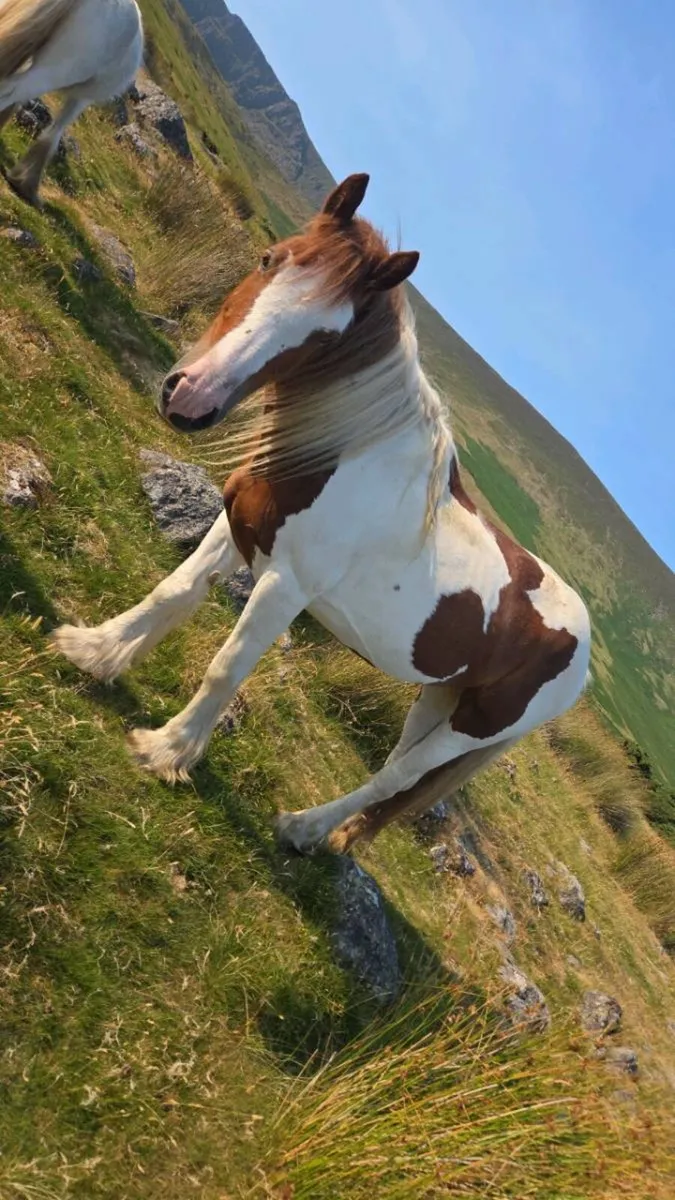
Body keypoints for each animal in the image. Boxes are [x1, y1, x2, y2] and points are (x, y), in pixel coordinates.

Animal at [0, 0, 143, 207]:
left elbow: (16, 105)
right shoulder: (81, 99)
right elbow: (55, 133)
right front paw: (27, 185)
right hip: (54, 73)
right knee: (7, 91)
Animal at [52, 173, 592, 855]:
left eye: (327, 335)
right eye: (269, 258)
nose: (190, 397)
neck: (341, 452)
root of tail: (584, 646)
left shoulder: (287, 587)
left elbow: (226, 668)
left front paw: (166, 752)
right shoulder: (232, 530)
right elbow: (170, 594)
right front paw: (94, 652)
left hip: (474, 726)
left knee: (396, 779)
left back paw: (301, 827)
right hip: (438, 697)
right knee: (395, 774)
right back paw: (326, 834)